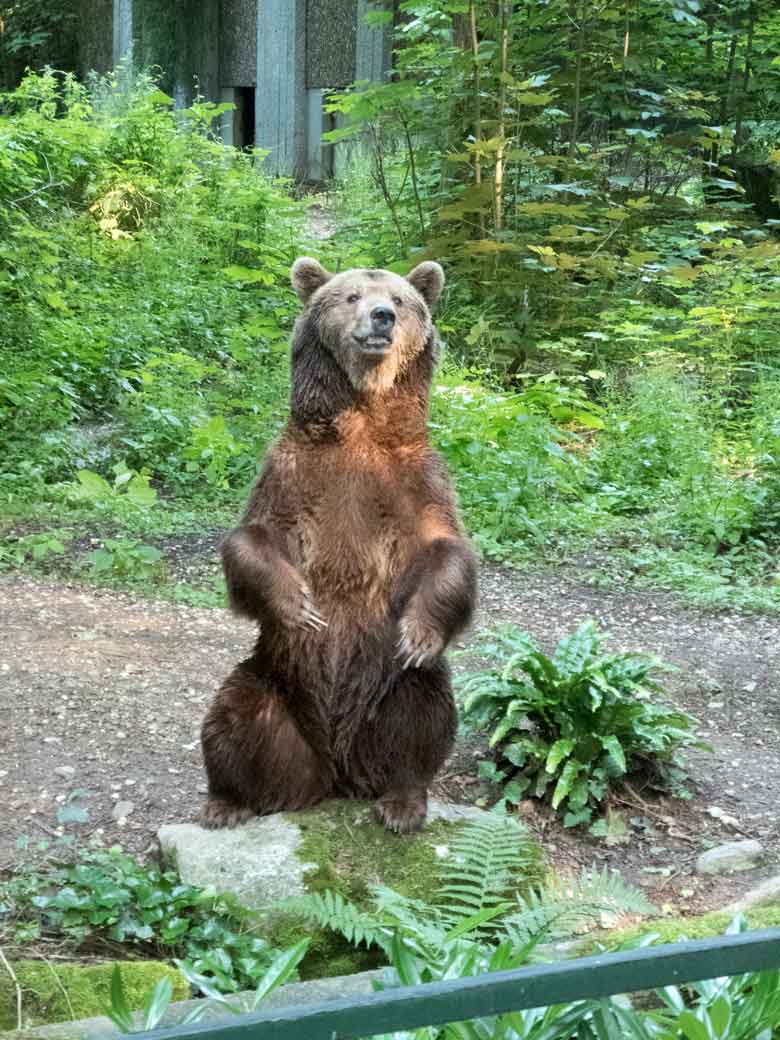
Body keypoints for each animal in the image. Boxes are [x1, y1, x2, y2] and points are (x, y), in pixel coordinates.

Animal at [199, 255, 476, 832]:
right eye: (350, 296)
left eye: (400, 299)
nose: (381, 316)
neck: (362, 426)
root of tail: (337, 772)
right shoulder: (292, 472)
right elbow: (252, 538)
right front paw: (300, 605)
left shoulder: (417, 480)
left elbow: (447, 551)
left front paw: (419, 633)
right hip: (273, 679)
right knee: (234, 716)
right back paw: (228, 801)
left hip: (390, 690)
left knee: (423, 714)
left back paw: (401, 801)